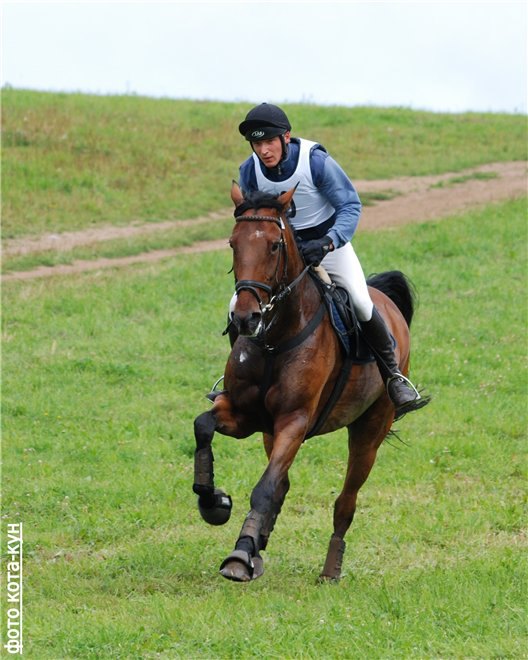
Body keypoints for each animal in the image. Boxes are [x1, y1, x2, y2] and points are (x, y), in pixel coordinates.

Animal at [194, 183, 420, 580]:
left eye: (274, 245)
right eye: (233, 243)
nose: (244, 318)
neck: (274, 338)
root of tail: (386, 301)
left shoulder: (294, 421)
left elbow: (265, 488)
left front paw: (239, 554)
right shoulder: (245, 416)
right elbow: (203, 426)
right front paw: (214, 503)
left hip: (370, 430)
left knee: (346, 501)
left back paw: (330, 569)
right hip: (270, 433)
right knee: (284, 484)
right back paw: (258, 548)